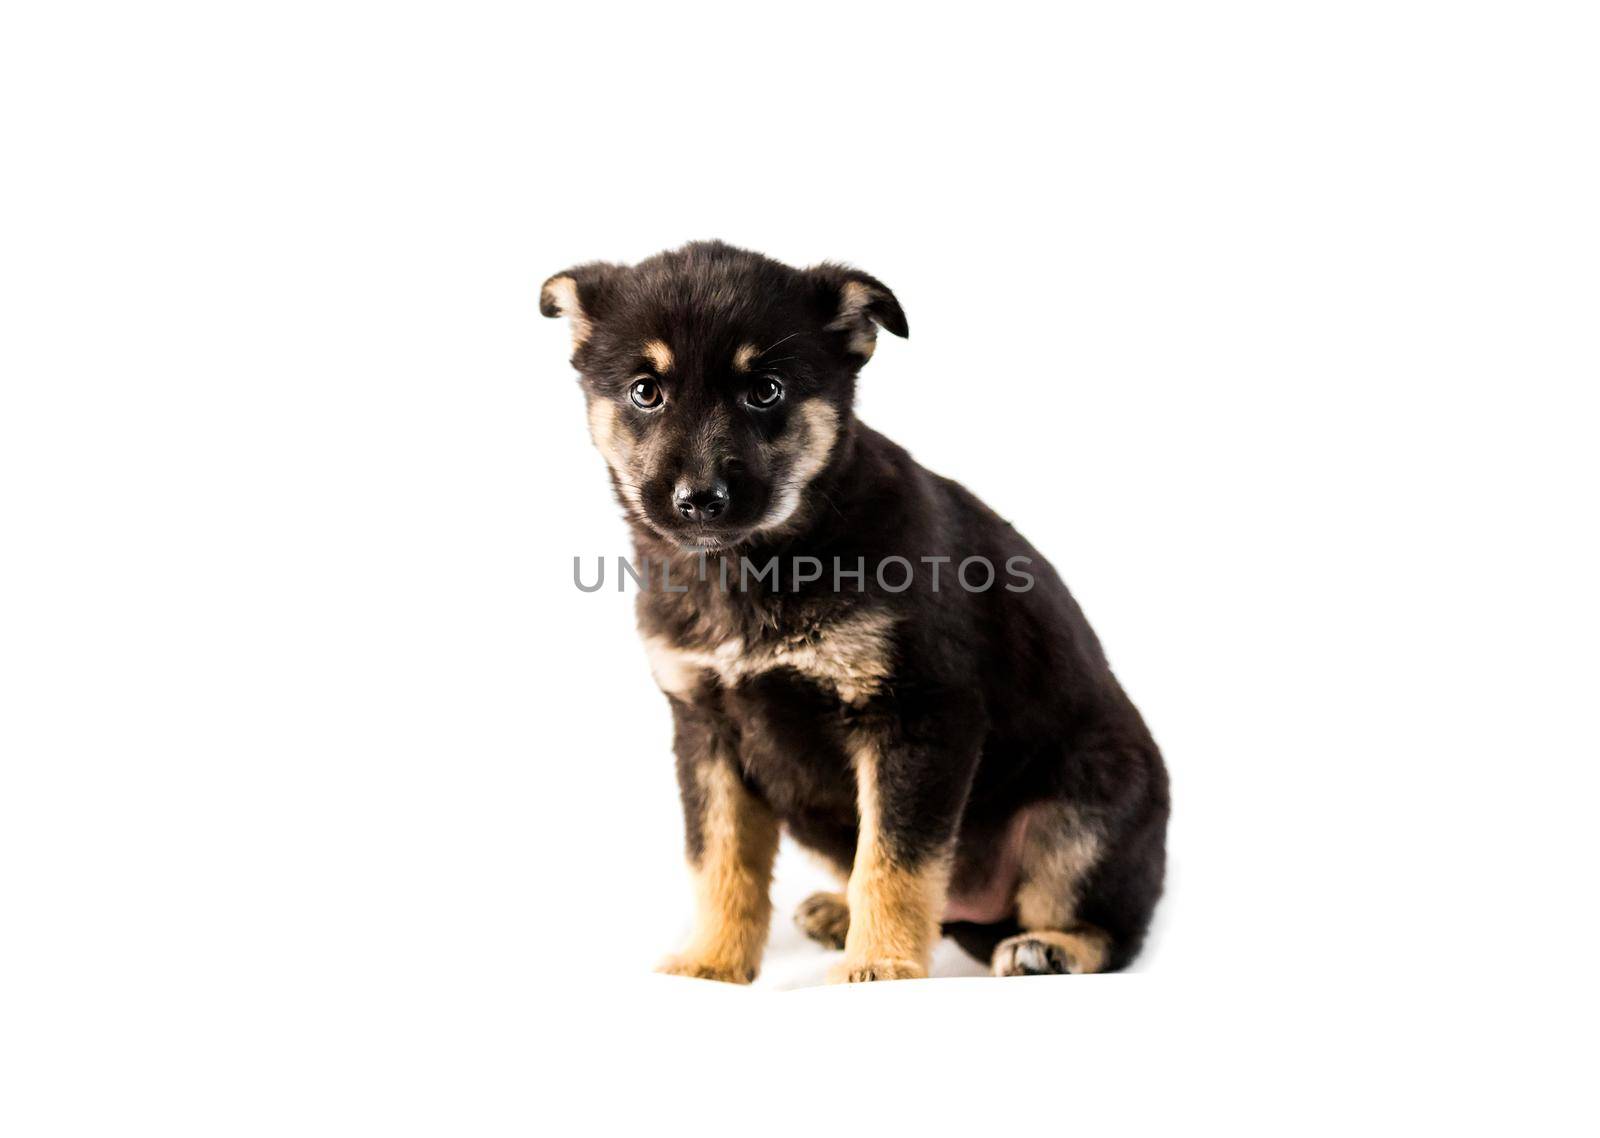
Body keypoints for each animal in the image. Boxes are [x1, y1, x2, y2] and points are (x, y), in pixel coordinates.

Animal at [544, 238, 1171, 979]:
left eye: (766, 390)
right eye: (646, 392)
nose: (700, 500)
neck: (762, 564)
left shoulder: (918, 716)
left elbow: (897, 860)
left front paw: (881, 965)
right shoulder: (706, 731)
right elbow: (720, 859)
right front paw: (713, 960)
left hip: (1086, 809)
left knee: (1111, 928)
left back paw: (1050, 946)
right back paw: (840, 913)